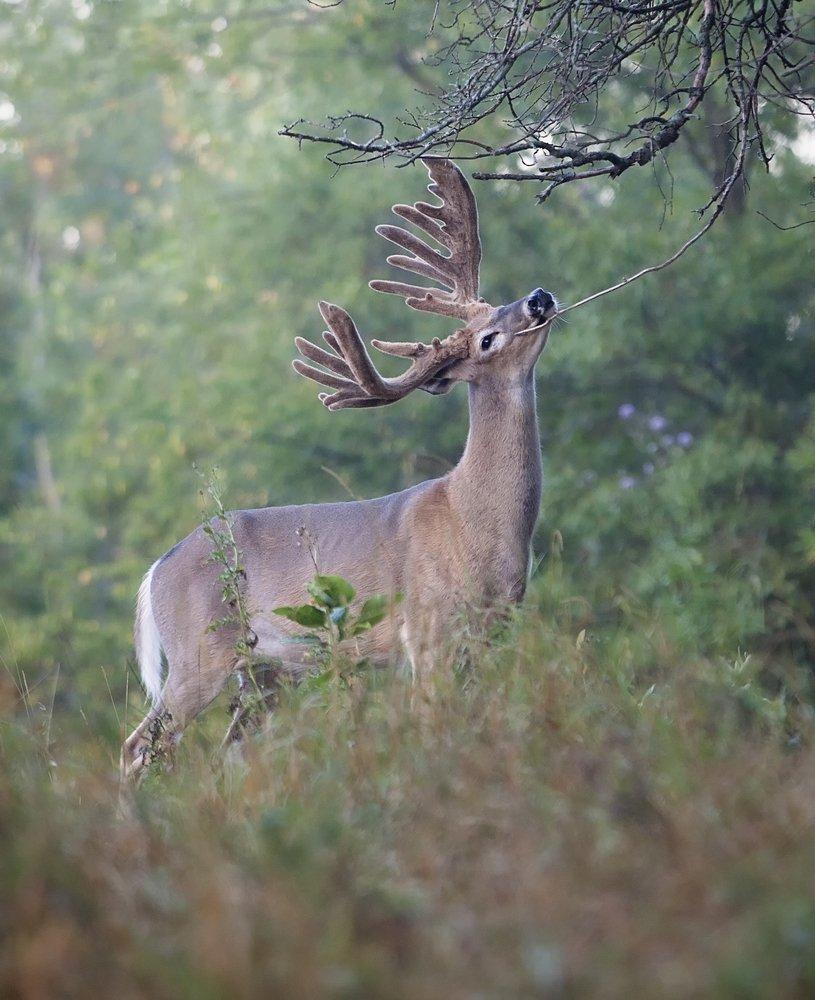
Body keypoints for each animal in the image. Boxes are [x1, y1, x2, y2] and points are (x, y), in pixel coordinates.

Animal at [122, 160, 556, 776]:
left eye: (501, 303)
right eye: (488, 338)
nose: (540, 296)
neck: (476, 517)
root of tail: (157, 568)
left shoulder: (496, 628)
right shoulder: (428, 627)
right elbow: (435, 725)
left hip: (266, 672)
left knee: (227, 752)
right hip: (198, 652)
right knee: (139, 746)